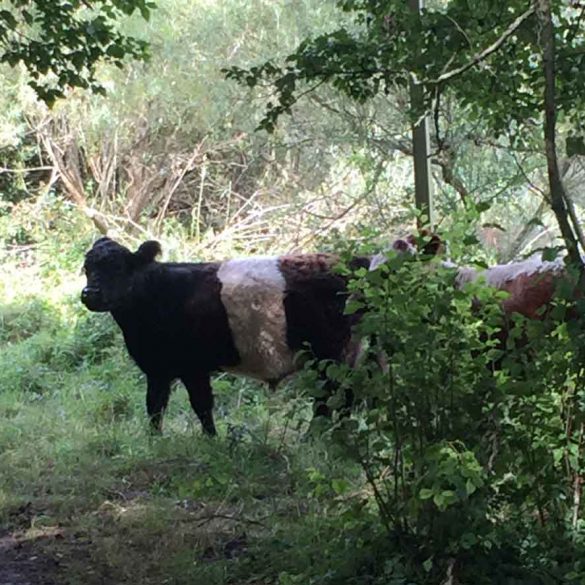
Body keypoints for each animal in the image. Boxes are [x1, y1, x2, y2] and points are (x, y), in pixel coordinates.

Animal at [80, 236, 368, 434]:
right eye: (87, 267)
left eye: (118, 268)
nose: (89, 293)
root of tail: (351, 262)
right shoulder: (159, 368)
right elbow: (155, 407)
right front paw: (155, 442)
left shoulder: (190, 366)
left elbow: (201, 405)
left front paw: (210, 441)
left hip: (330, 354)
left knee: (330, 398)